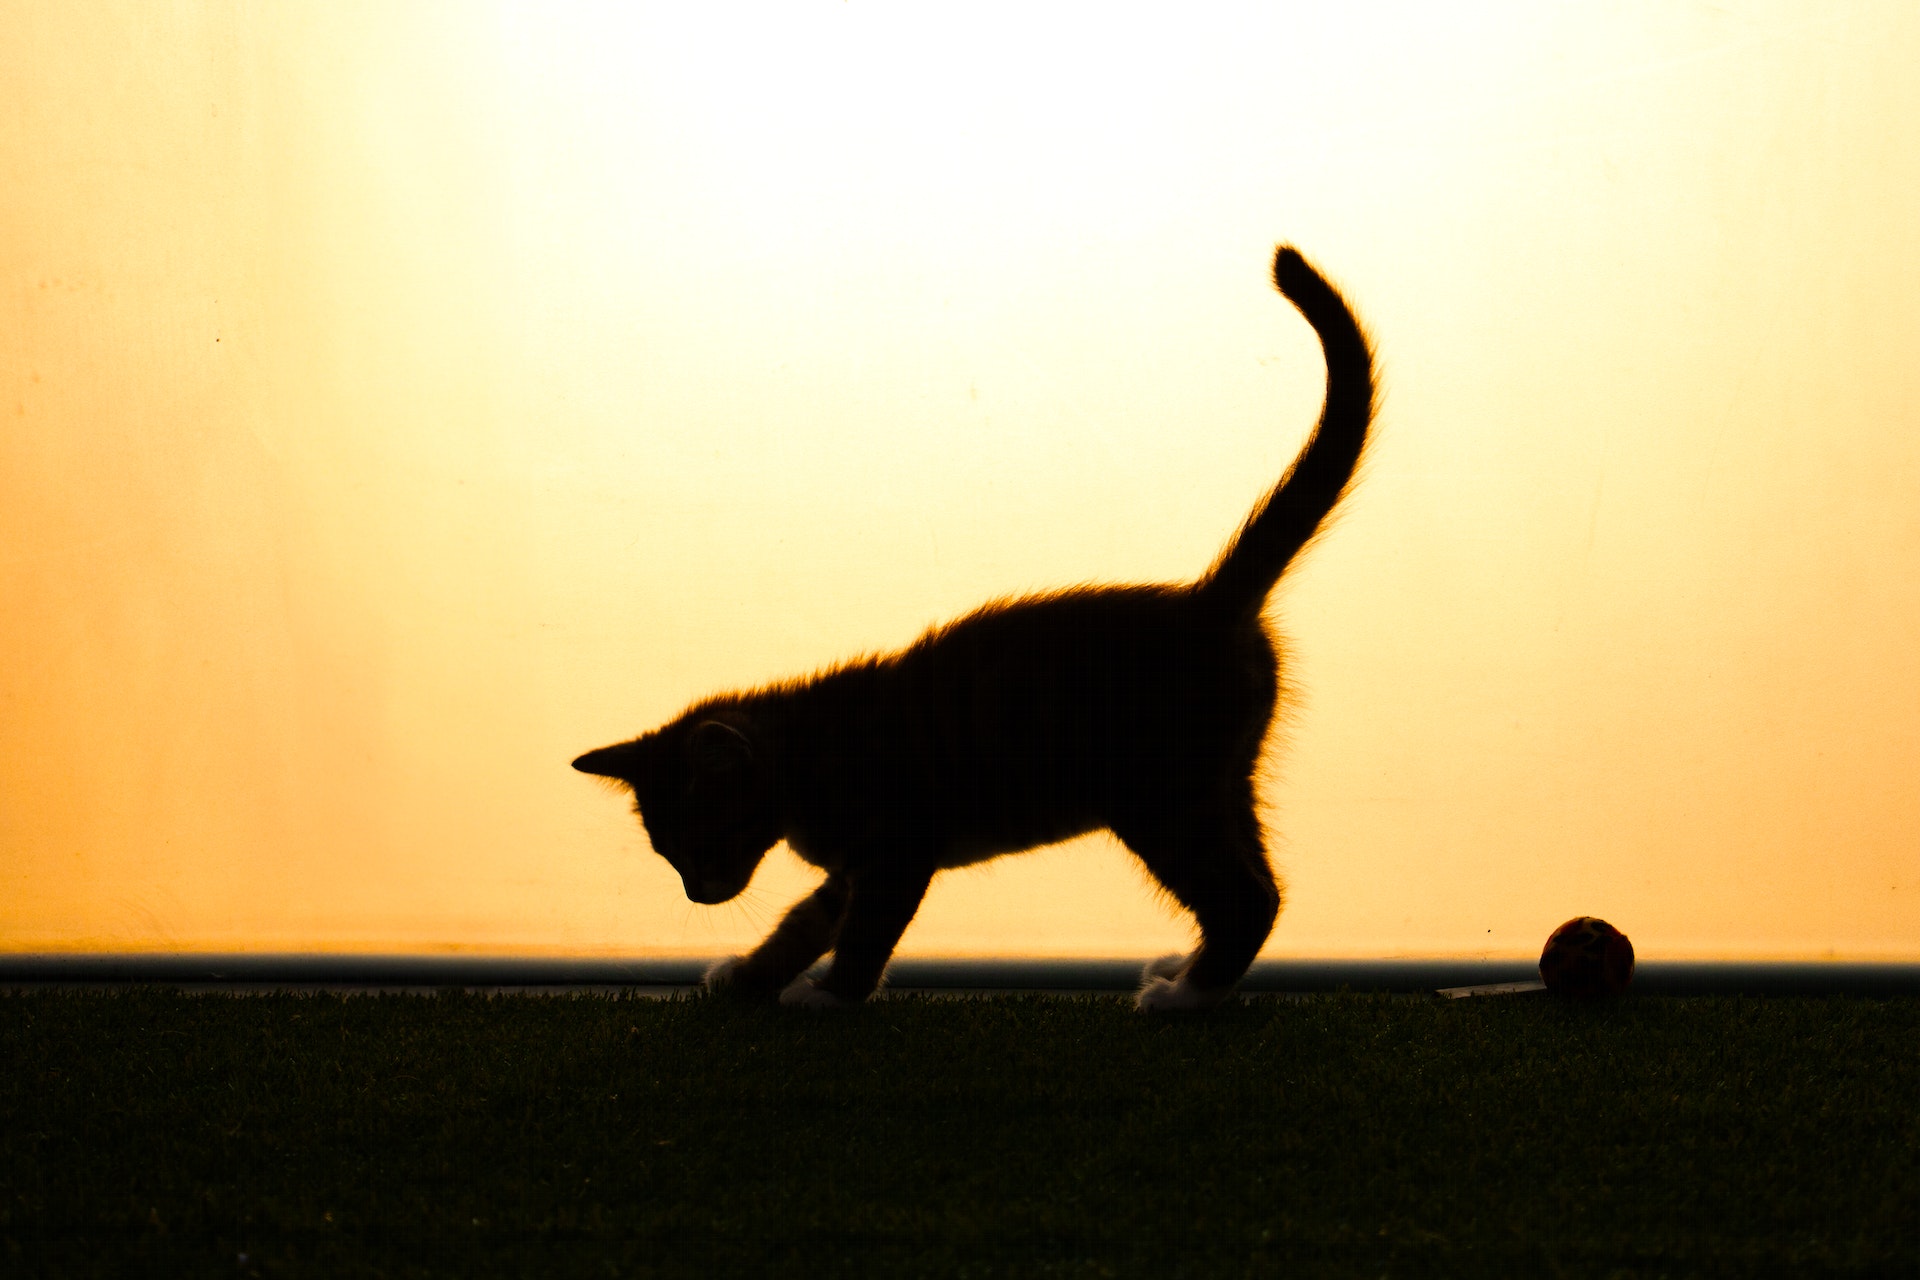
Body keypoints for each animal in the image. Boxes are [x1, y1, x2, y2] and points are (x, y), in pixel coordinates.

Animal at [572, 247, 1382, 1013]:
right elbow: (806, 920)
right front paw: (749, 976)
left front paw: (832, 995)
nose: (694, 892)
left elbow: (866, 929)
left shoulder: (899, 847)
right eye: (666, 850)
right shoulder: (855, 865)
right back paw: (1194, 975)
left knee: (1242, 898)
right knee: (1265, 889)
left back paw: (1184, 996)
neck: (805, 743)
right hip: (1220, 781)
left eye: (701, 838)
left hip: (1160, 797)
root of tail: (1208, 601)